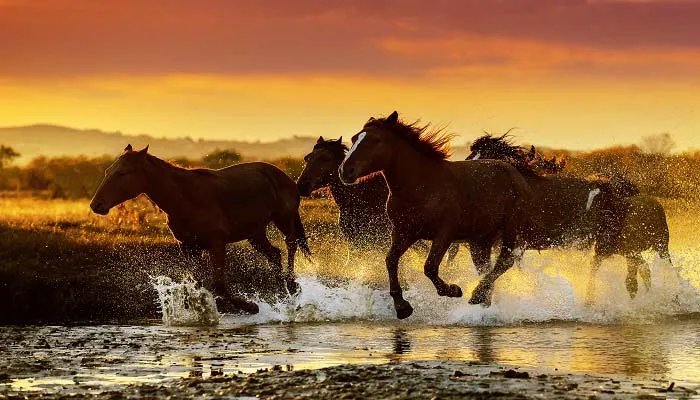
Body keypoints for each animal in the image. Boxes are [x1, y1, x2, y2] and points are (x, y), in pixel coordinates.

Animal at [89, 144, 310, 314]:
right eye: (108, 171)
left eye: (122, 173)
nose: (96, 205)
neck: (184, 198)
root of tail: (285, 177)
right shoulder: (189, 247)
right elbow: (197, 285)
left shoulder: (216, 243)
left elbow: (218, 285)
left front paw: (251, 307)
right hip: (255, 233)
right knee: (275, 254)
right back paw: (284, 293)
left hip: (283, 219)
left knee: (291, 244)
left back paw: (292, 286)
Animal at [339, 111, 534, 319]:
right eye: (354, 138)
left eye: (376, 140)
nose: (345, 171)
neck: (421, 187)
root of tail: (515, 173)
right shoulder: (404, 232)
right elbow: (391, 260)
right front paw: (402, 307)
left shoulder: (444, 234)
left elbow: (430, 267)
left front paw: (453, 290)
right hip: (480, 240)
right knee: (485, 268)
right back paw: (483, 301)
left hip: (510, 230)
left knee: (505, 262)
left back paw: (476, 295)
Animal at [466, 134, 671, 301]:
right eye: (471, 157)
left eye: (485, 160)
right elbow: (489, 270)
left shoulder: (516, 243)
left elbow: (499, 268)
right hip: (615, 246)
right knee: (640, 266)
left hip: (613, 244)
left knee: (639, 266)